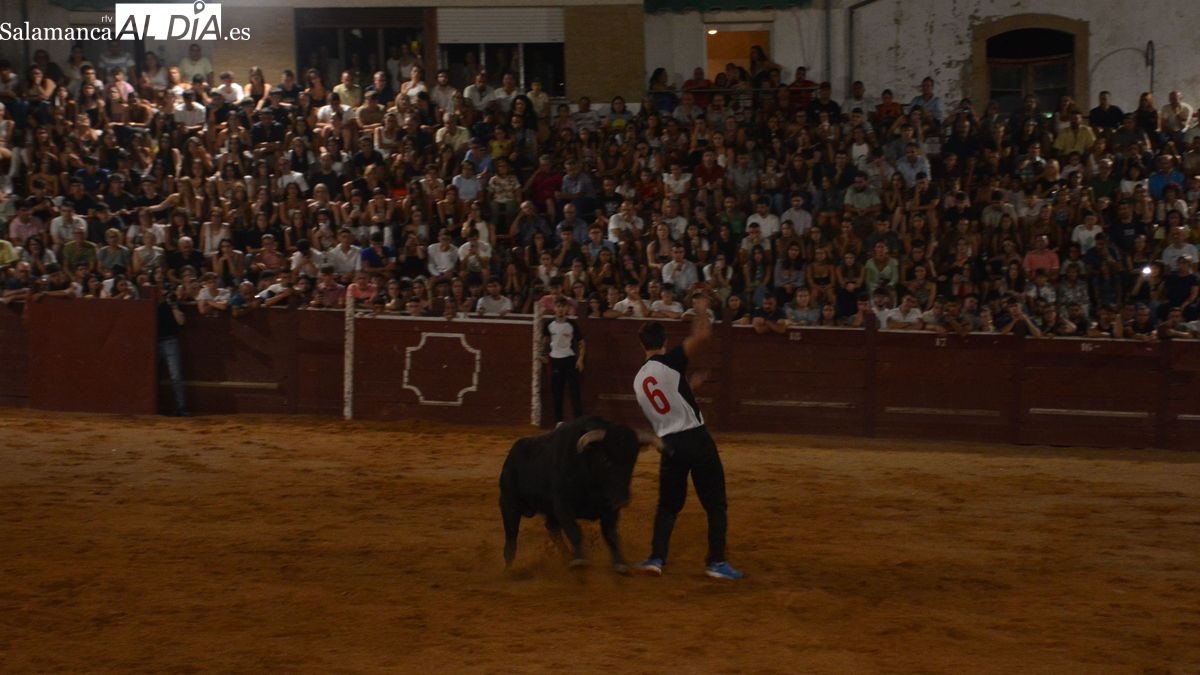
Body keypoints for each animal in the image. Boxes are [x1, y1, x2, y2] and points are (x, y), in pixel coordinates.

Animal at [499, 416, 661, 572]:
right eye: (605, 458)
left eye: (633, 460)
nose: (622, 500)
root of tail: (512, 454)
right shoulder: (563, 505)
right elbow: (575, 532)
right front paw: (579, 561)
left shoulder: (610, 508)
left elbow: (611, 535)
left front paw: (620, 563)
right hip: (509, 503)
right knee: (511, 537)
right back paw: (508, 570)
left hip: (548, 511)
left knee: (552, 529)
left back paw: (566, 557)